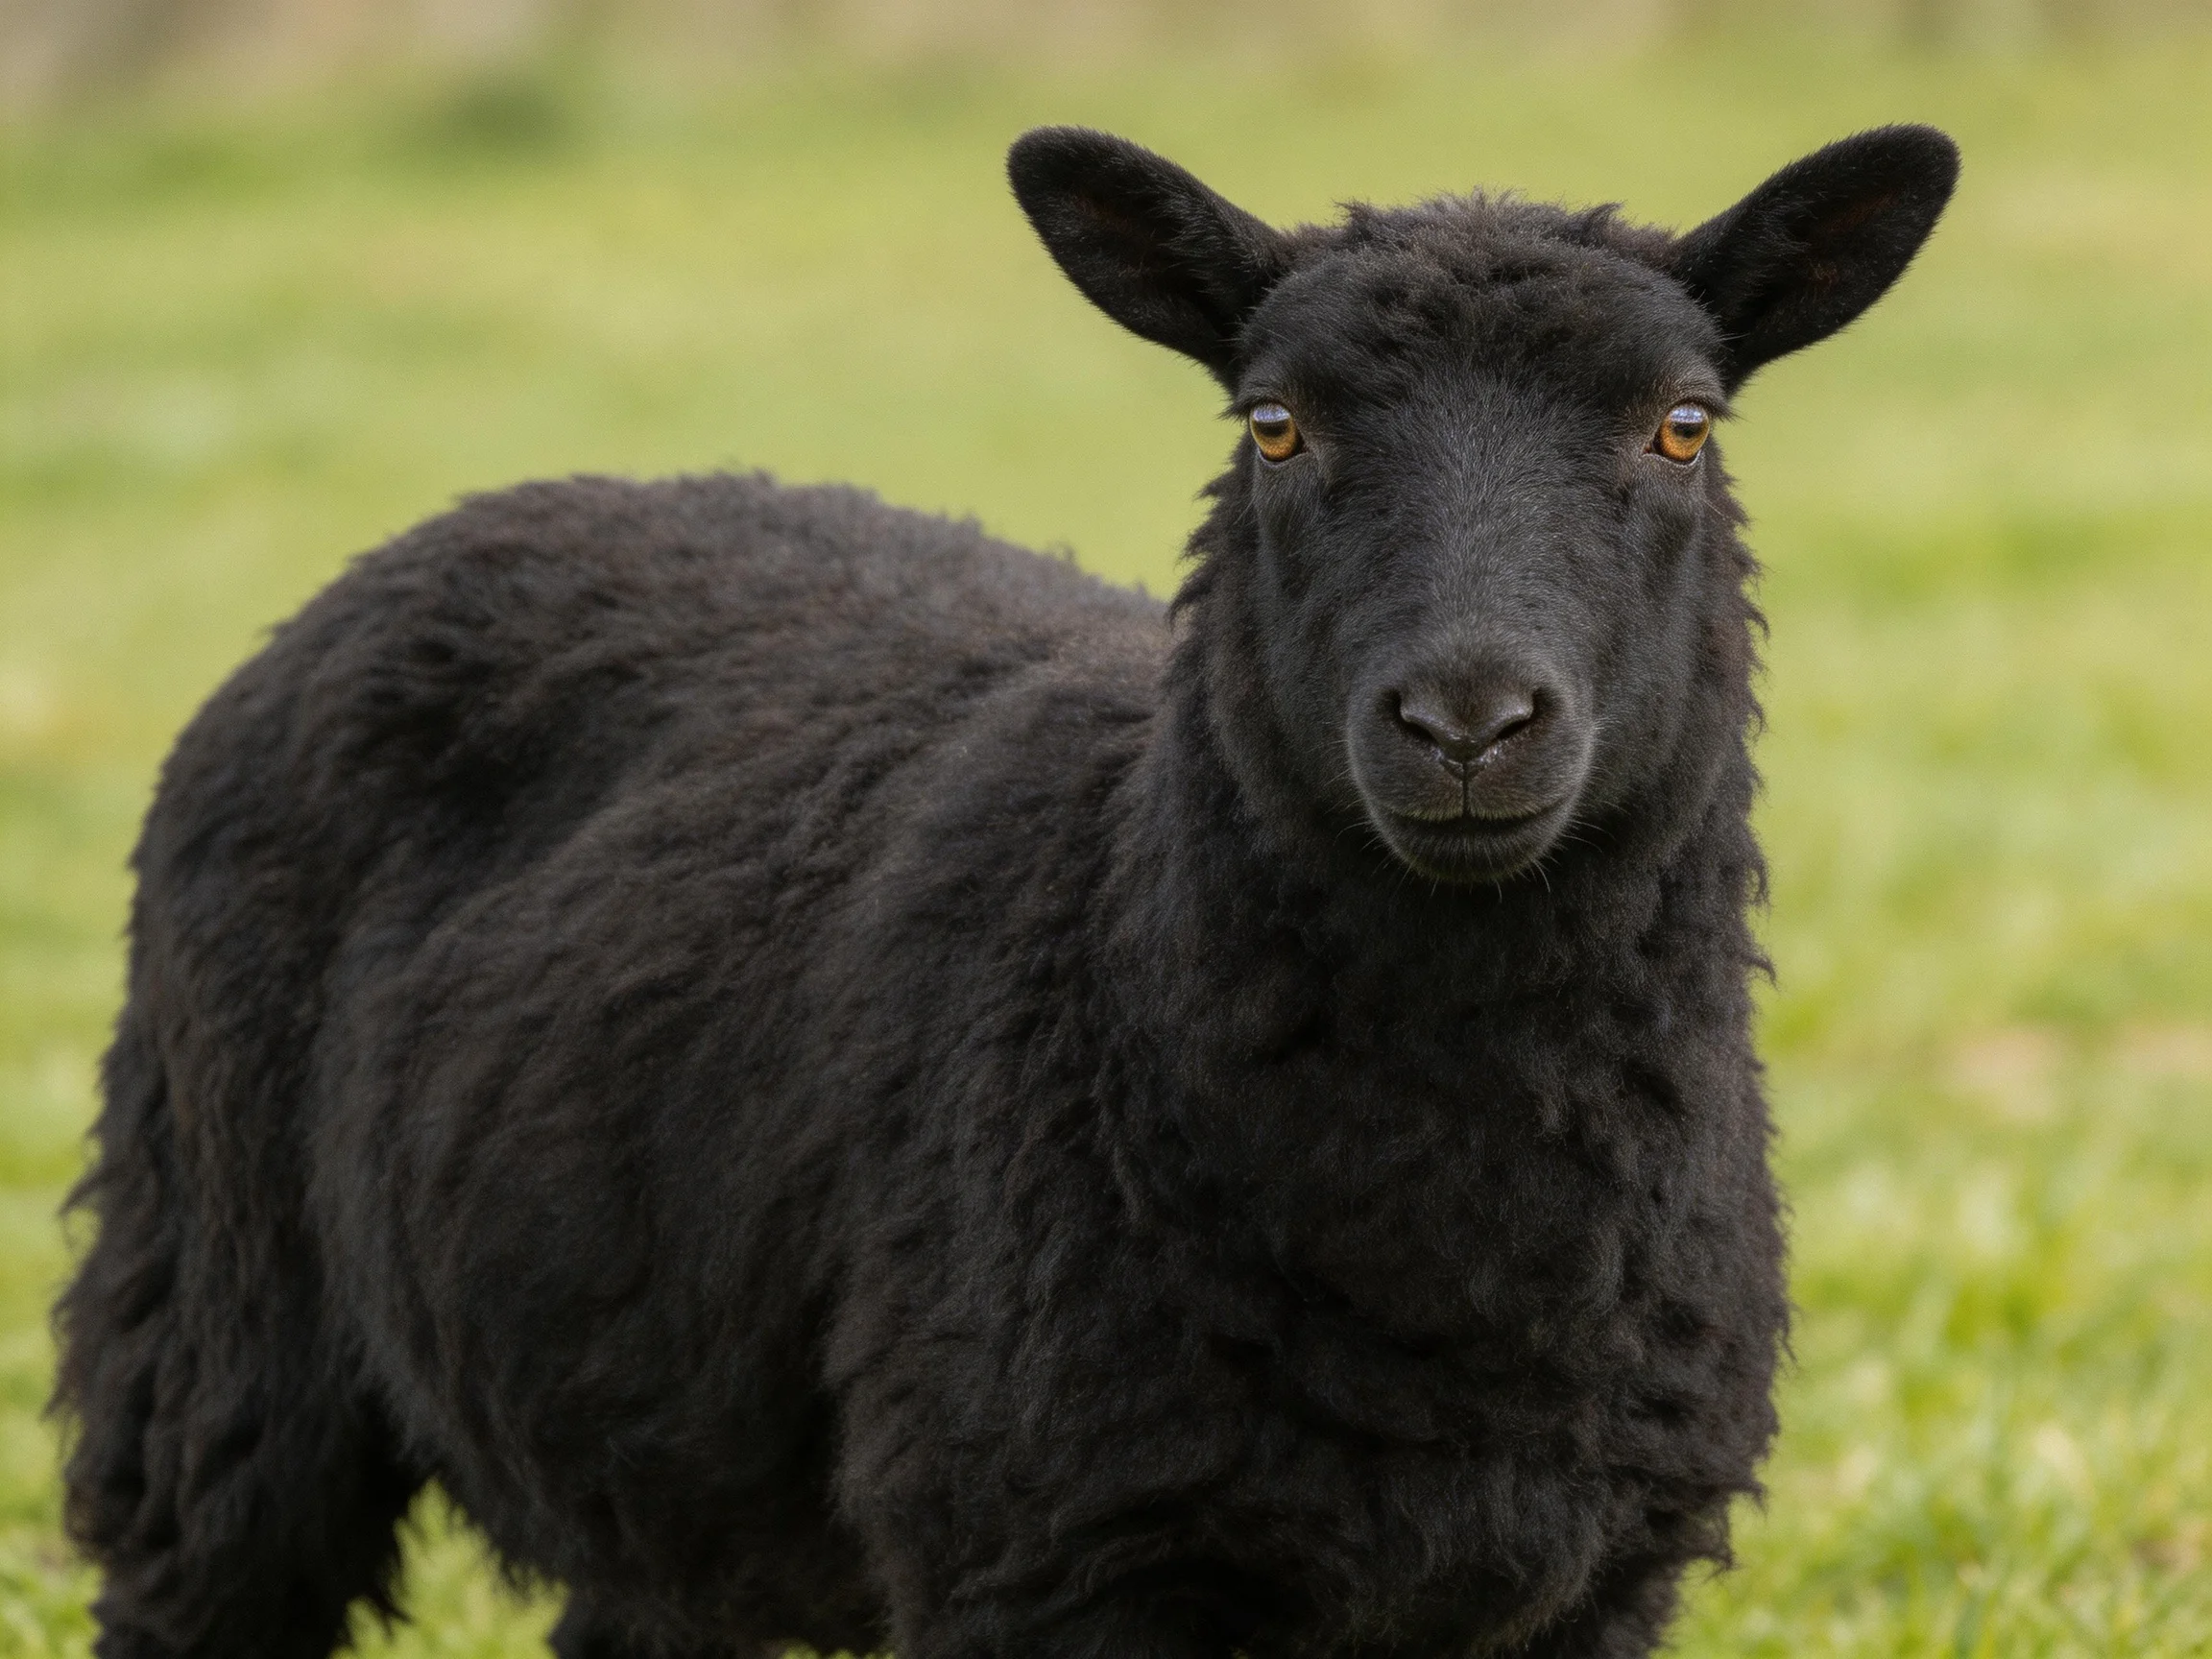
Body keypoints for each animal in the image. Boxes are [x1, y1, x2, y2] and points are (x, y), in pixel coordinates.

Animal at [52, 123, 1958, 1659]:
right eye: (1274, 426)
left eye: (1679, 425)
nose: (1467, 721)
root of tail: (470, 514)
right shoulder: (1041, 1550)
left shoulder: (1590, 1578)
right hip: (212, 1297)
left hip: (643, 1416)